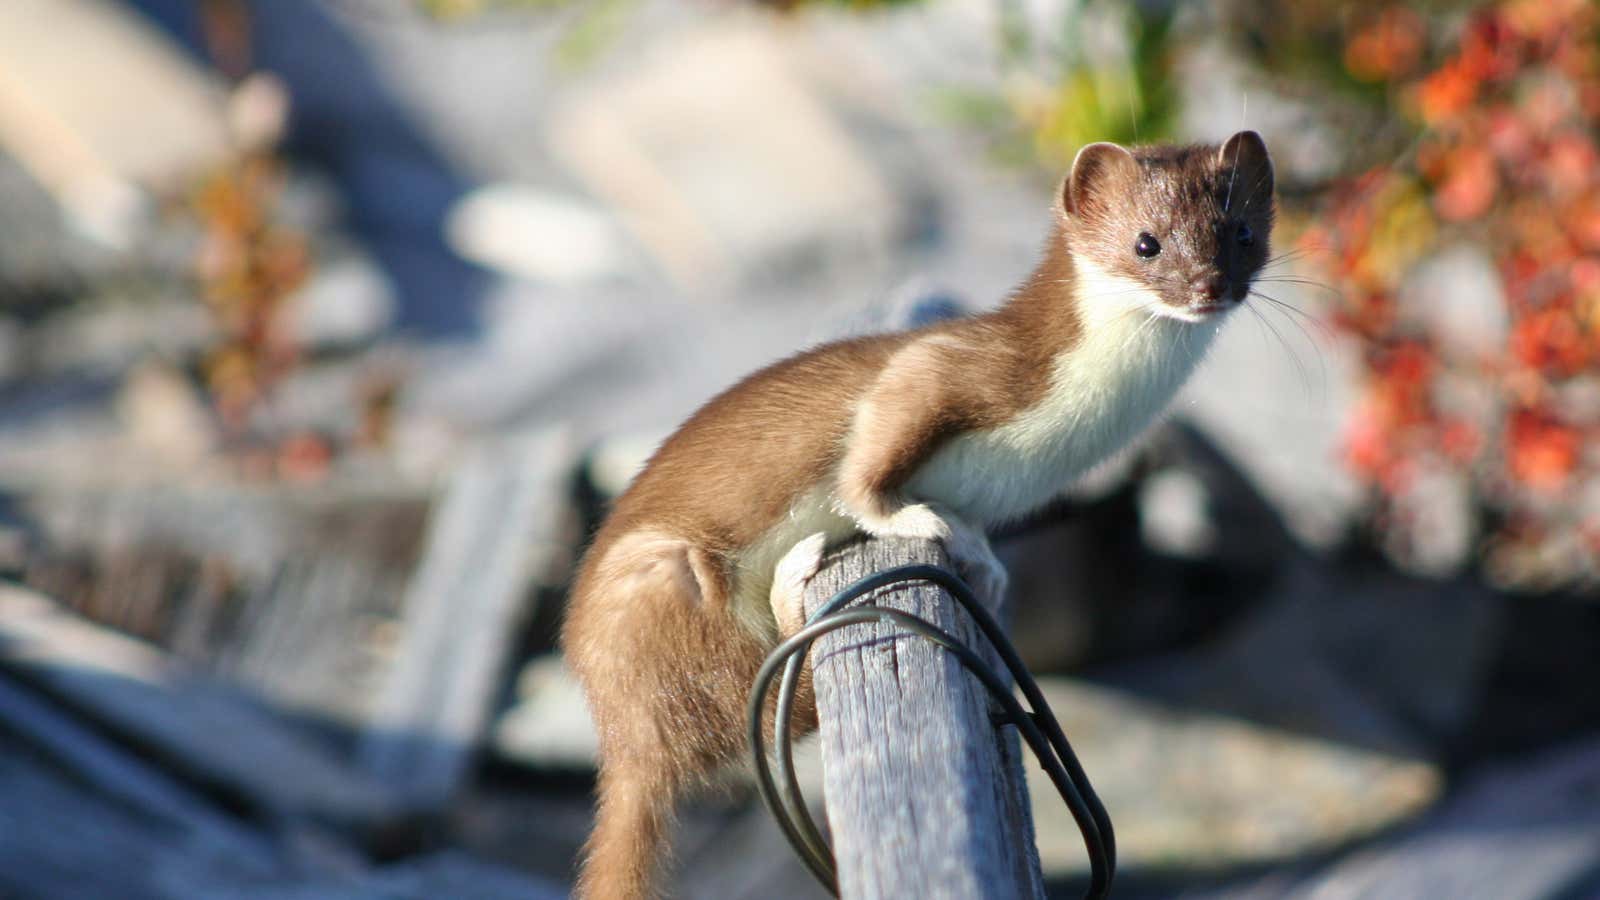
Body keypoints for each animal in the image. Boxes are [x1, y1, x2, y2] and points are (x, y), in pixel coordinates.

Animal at [563, 129, 1273, 890]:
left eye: (1241, 232)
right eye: (1147, 243)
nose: (1209, 287)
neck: (1066, 438)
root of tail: (615, 726)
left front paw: (983, 564)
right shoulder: (936, 371)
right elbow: (867, 462)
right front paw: (911, 518)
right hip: (661, 579)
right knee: (756, 697)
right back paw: (794, 576)